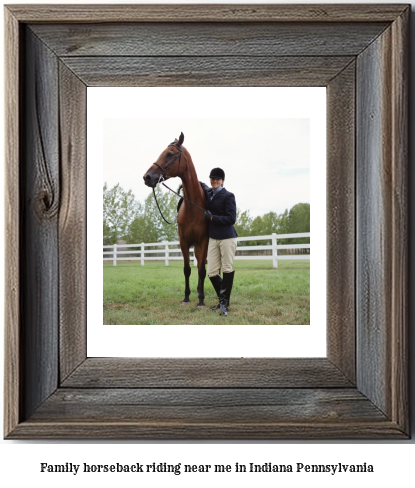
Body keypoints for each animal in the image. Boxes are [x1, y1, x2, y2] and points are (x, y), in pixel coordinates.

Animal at [143, 132, 210, 306]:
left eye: (169, 154)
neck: (194, 207)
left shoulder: (205, 241)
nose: (147, 177)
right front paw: (186, 297)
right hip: (196, 247)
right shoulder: (184, 242)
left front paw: (201, 300)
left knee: (204, 267)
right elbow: (187, 269)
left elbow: (201, 270)